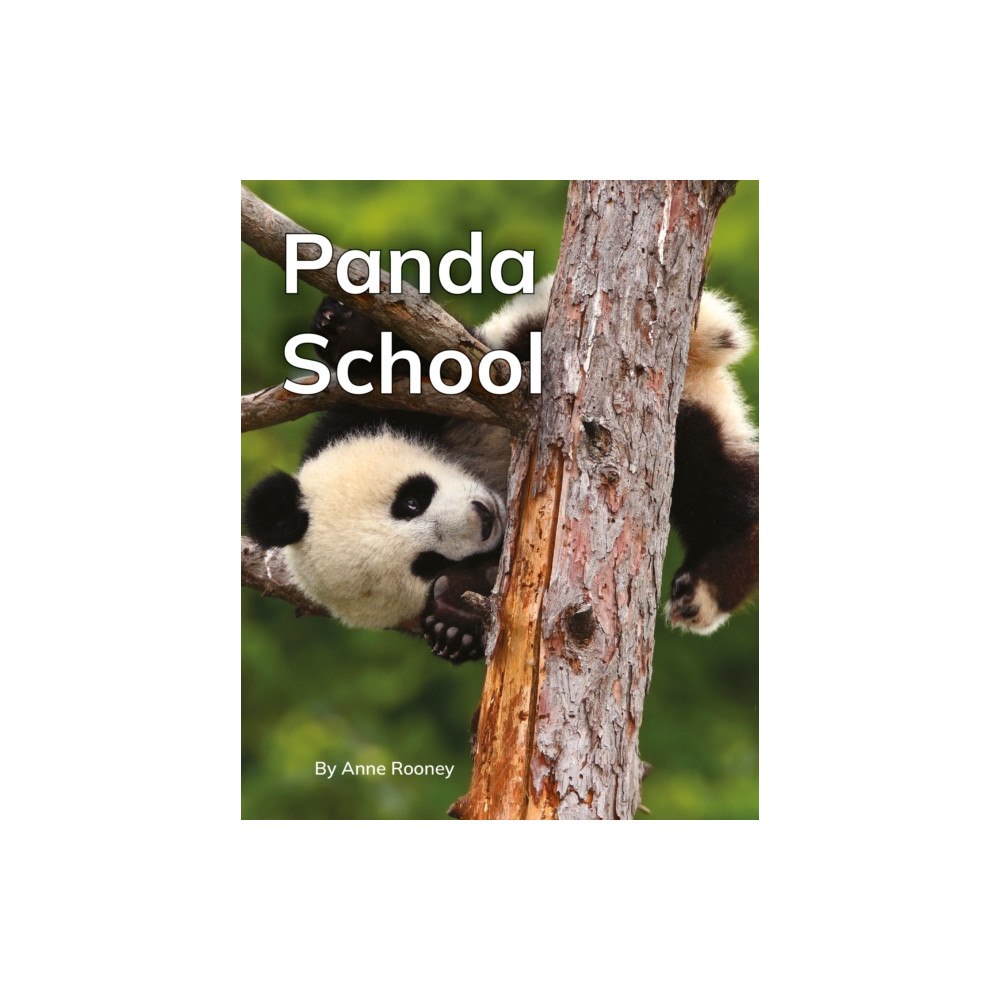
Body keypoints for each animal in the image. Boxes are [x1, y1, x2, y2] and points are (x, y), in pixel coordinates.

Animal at [244, 276, 758, 662]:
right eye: (426, 563)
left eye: (410, 500)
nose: (482, 521)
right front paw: (456, 622)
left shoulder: (380, 408)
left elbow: (413, 359)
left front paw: (342, 325)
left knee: (708, 478)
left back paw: (708, 584)